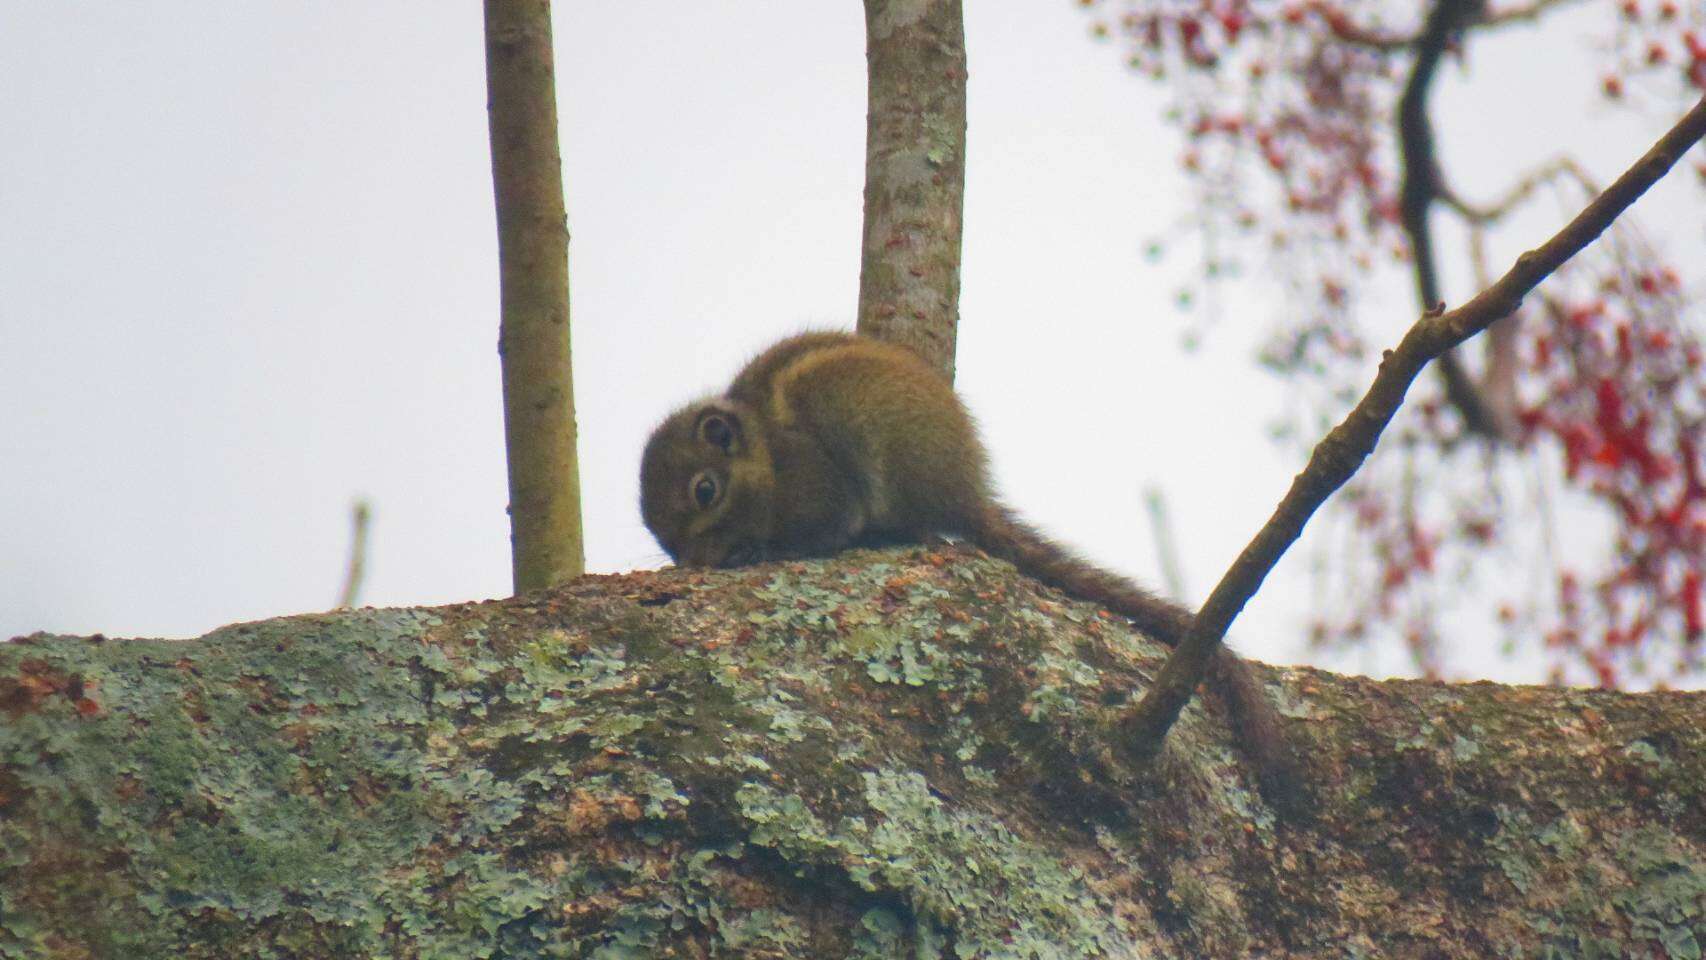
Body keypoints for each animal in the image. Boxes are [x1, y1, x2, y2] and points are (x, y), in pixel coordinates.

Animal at [644, 330, 1296, 804]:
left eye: (705, 491)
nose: (693, 562)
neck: (767, 459)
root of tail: (967, 492)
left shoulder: (817, 484)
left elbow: (826, 527)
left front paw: (763, 552)